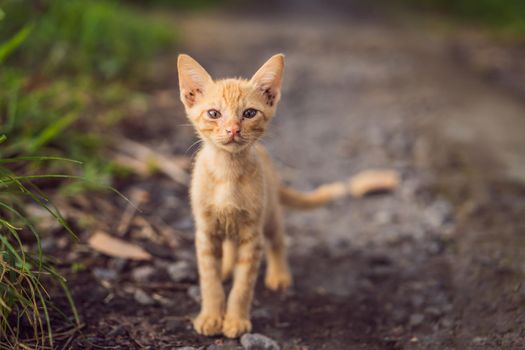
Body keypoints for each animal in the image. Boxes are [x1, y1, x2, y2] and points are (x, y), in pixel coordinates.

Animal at [179, 53, 356, 338]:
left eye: (249, 113)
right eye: (214, 114)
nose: (232, 130)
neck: (227, 173)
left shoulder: (253, 235)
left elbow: (243, 286)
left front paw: (235, 319)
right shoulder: (205, 231)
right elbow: (209, 280)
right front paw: (211, 315)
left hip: (269, 215)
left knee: (278, 240)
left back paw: (278, 274)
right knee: (229, 246)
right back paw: (226, 267)